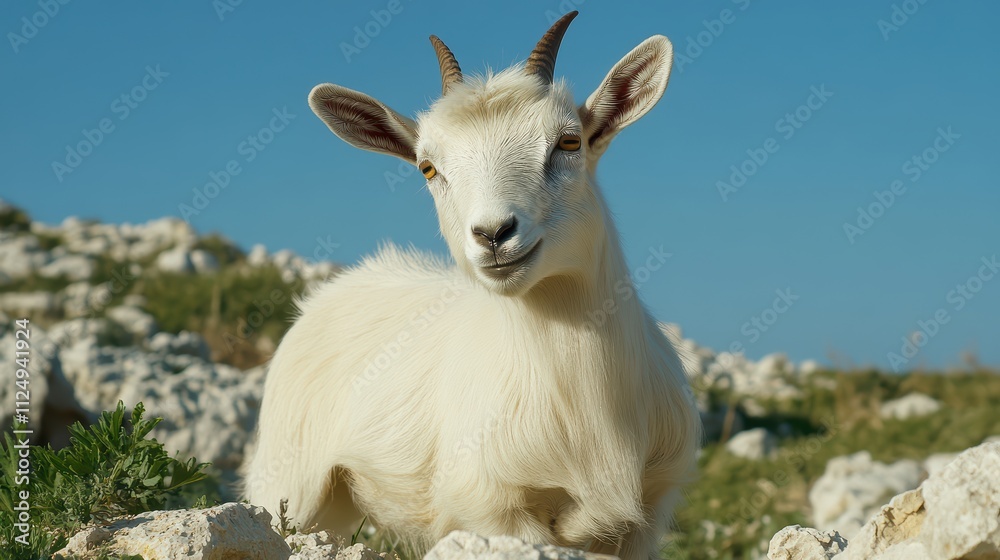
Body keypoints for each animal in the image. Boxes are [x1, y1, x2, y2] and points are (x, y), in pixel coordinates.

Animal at [244, 12, 700, 560]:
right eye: (428, 167)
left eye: (569, 142)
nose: (494, 234)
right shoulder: (493, 507)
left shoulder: (644, 514)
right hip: (288, 479)